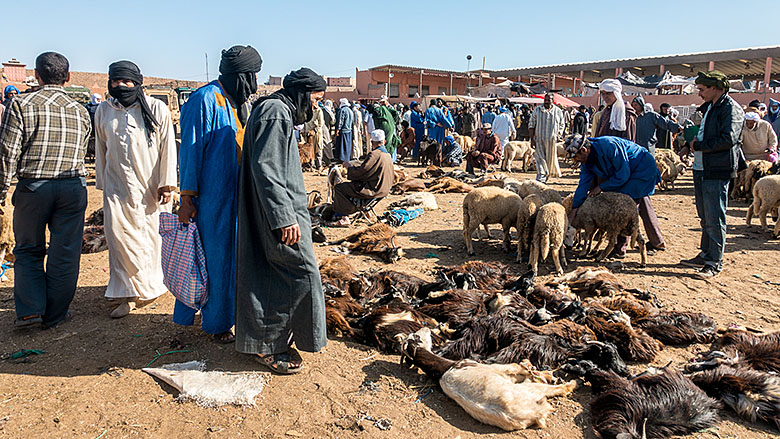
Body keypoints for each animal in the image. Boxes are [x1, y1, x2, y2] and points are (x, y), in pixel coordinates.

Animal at [402, 328, 580, 432]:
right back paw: (568, 383)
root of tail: (535, 413)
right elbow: (515, 366)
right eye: (417, 336)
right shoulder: (497, 369)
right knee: (544, 385)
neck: (442, 368)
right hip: (530, 390)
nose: (427, 328)